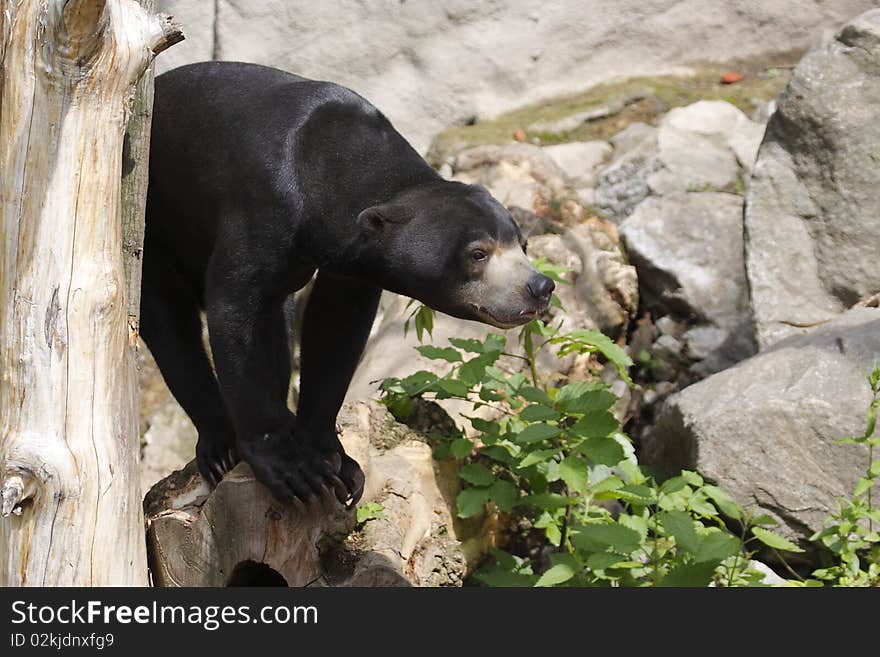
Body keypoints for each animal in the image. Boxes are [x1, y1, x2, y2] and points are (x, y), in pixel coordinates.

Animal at [143, 62, 556, 508]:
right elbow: (237, 309)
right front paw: (293, 470)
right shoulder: (259, 207)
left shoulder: (347, 261)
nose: (540, 287)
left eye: (523, 244)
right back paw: (219, 448)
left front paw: (336, 462)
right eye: (478, 253)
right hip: (155, 221)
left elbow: (335, 330)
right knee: (169, 325)